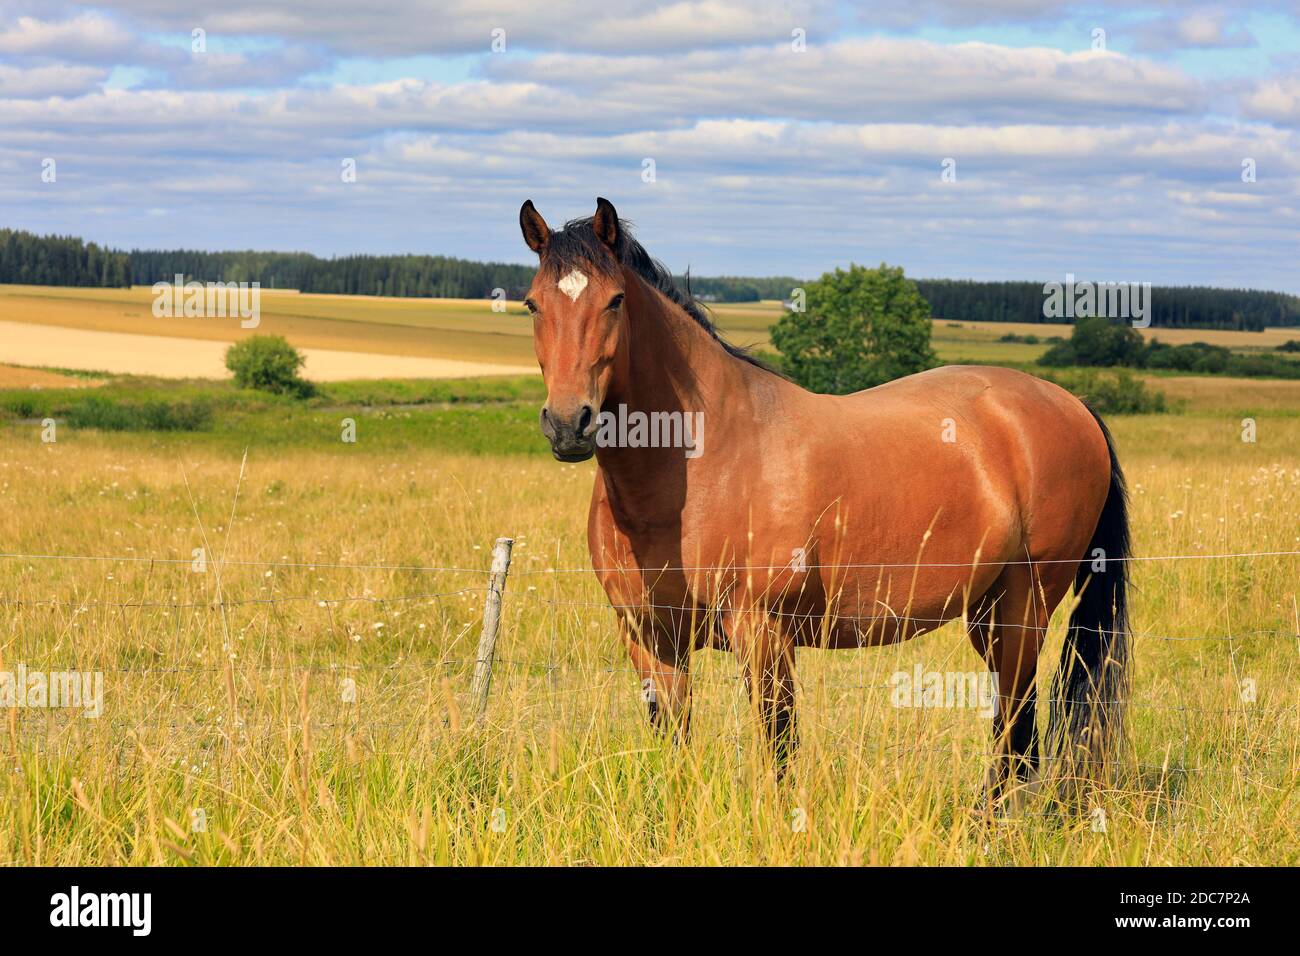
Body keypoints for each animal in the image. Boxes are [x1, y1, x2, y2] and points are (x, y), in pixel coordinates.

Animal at [517, 196, 1128, 801]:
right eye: (531, 304)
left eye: (615, 300)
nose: (569, 423)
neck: (703, 462)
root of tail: (1072, 404)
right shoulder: (651, 640)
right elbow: (674, 742)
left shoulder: (763, 633)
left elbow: (779, 745)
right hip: (988, 611)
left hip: (1025, 606)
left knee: (1016, 722)